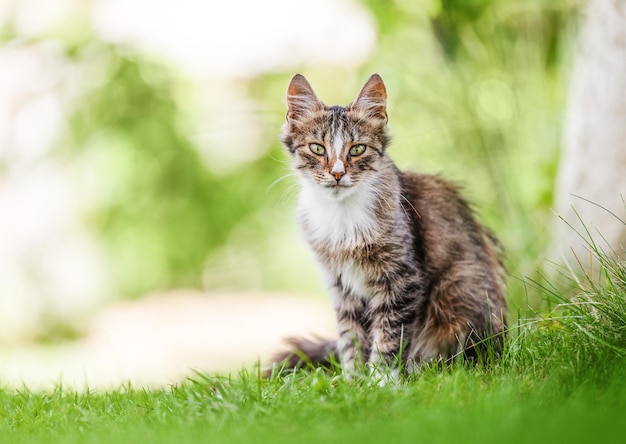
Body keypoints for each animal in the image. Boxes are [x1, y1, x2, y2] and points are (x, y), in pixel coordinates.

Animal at [270, 73, 508, 378]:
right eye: (317, 148)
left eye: (357, 149)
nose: (337, 174)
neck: (341, 214)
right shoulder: (341, 285)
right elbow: (351, 338)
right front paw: (352, 380)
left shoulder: (402, 280)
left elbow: (389, 336)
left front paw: (380, 379)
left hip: (459, 288)